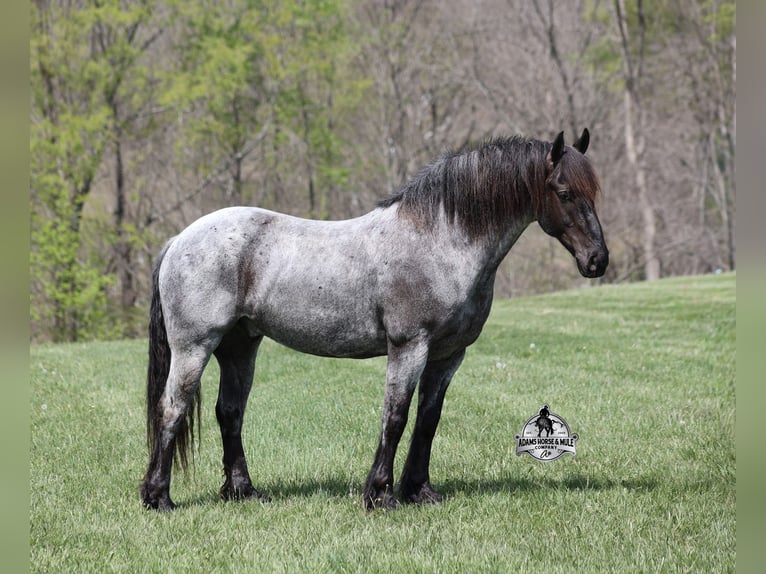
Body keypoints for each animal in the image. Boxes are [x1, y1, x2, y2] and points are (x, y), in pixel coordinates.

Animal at [140, 129, 608, 511]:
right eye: (564, 191)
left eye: (594, 192)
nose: (597, 261)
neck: (439, 241)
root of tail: (178, 239)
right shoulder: (408, 347)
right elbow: (395, 416)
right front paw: (380, 495)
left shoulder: (448, 355)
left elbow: (428, 420)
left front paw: (419, 491)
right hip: (195, 347)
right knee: (172, 408)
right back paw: (158, 498)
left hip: (239, 347)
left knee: (229, 413)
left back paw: (243, 492)